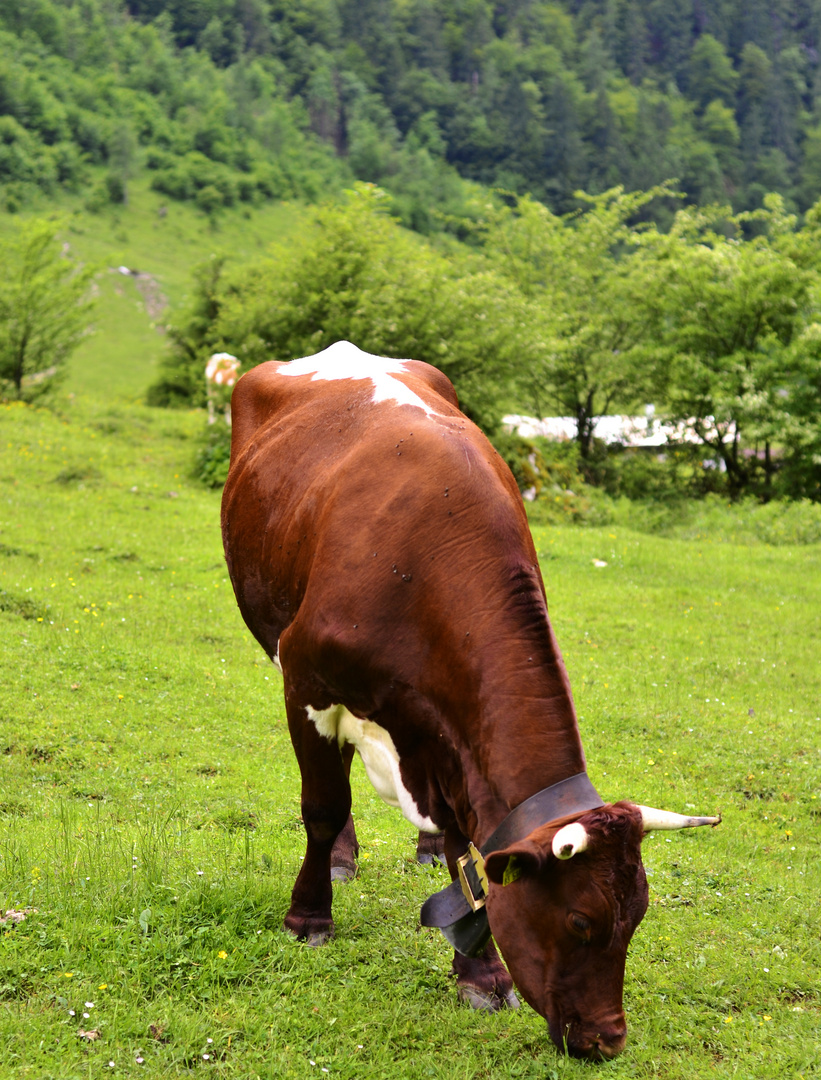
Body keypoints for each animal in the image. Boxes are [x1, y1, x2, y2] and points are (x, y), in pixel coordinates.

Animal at [219, 341, 717, 1058]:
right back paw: (341, 859)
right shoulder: (306, 682)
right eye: (581, 921)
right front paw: (307, 916)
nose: (607, 1039)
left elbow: (467, 860)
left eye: (637, 919)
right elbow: (322, 804)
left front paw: (478, 972)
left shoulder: (449, 735)